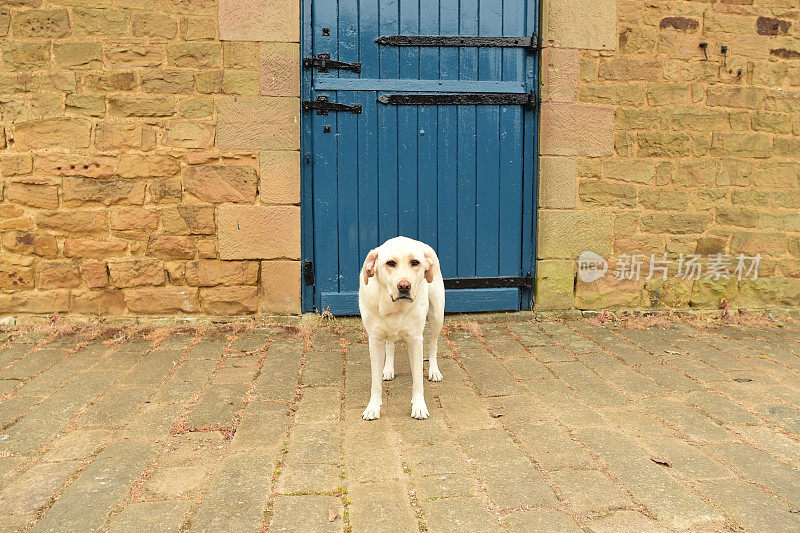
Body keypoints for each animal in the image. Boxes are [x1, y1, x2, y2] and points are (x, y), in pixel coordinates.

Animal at [360, 235, 446, 418]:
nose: (404, 286)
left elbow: (417, 380)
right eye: (390, 263)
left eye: (415, 262)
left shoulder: (415, 340)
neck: (394, 307)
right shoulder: (375, 340)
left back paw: (434, 371)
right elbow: (375, 382)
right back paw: (388, 369)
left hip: (437, 315)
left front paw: (419, 406)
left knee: (433, 344)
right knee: (390, 344)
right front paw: (373, 407)